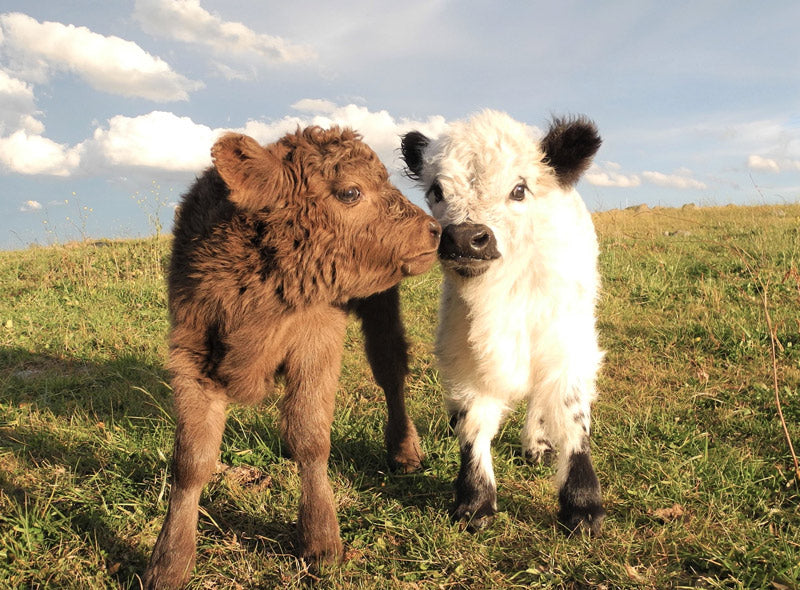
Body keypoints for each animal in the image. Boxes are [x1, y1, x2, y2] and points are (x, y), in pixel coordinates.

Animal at [145, 127, 444, 588]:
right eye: (350, 191)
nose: (433, 230)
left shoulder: (316, 343)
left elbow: (310, 437)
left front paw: (321, 543)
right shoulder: (190, 356)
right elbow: (191, 458)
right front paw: (168, 562)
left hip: (380, 303)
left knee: (390, 370)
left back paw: (405, 452)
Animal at [404, 111, 604, 536]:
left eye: (519, 189)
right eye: (436, 190)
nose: (465, 237)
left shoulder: (569, 350)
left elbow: (571, 419)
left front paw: (583, 509)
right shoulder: (462, 358)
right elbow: (472, 425)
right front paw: (474, 503)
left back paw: (537, 445)